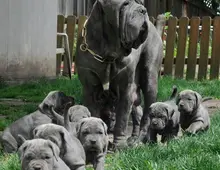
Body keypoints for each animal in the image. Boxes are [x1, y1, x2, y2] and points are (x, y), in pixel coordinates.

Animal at [75, 0, 165, 147]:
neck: (108, 54)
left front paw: (119, 145)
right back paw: (133, 138)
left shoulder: (125, 90)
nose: (143, 10)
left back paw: (141, 139)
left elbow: (122, 119)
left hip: (150, 79)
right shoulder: (90, 91)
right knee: (137, 112)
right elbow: (94, 115)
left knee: (147, 114)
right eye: (125, 4)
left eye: (140, 3)